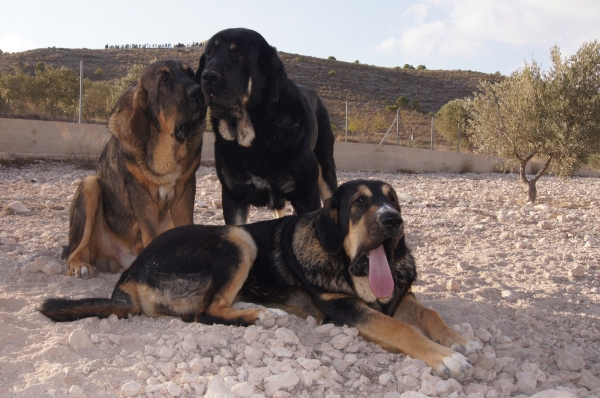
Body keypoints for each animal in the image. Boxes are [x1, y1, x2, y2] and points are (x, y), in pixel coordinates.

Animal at [41, 180, 482, 380]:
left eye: (393, 199)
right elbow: (398, 328)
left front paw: (459, 339)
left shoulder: (397, 297)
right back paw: (261, 316)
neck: (346, 265)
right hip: (238, 239)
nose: (394, 220)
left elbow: (428, 313)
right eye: (359, 203)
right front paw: (444, 356)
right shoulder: (343, 308)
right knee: (206, 312)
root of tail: (129, 275)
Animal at [63, 59, 207, 276]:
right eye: (164, 80)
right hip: (90, 186)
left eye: (190, 73)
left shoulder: (185, 189)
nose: (199, 92)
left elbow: (186, 227)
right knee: (75, 250)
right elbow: (150, 232)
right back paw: (80, 266)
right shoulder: (140, 192)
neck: (165, 145)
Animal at [197, 28, 338, 224]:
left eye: (239, 55)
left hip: (326, 170)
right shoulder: (233, 197)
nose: (208, 76)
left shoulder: (306, 194)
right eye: (210, 53)